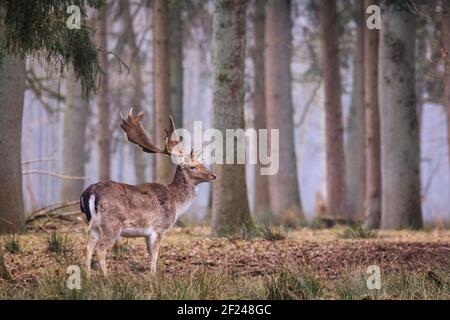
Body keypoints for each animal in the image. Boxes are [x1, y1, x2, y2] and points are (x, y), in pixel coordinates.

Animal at [80, 109, 215, 276]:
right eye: (193, 167)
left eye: (202, 163)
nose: (213, 175)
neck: (176, 203)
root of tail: (89, 192)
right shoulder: (159, 227)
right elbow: (155, 255)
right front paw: (153, 276)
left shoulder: (146, 233)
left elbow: (150, 254)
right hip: (111, 224)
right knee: (100, 249)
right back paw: (106, 277)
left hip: (94, 226)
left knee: (88, 248)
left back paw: (88, 277)